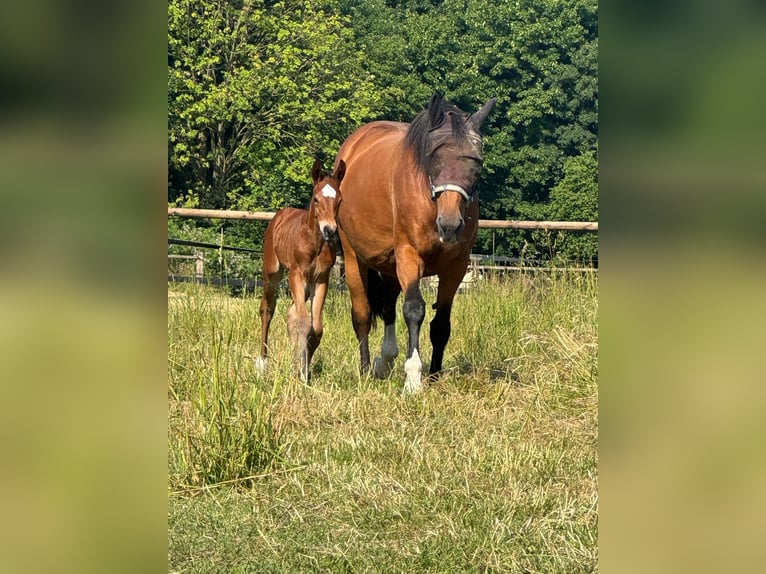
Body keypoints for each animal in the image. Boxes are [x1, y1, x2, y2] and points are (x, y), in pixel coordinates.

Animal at [256, 158, 345, 382]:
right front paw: (302, 373)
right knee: (267, 309)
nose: (329, 230)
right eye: (316, 199)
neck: (314, 243)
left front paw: (302, 370)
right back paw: (262, 363)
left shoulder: (320, 279)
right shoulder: (296, 275)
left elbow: (316, 328)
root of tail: (281, 214)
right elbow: (304, 322)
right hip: (272, 273)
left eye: (339, 200)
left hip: (305, 286)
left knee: (291, 313)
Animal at [333, 93, 495, 393]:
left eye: (476, 162)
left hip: (389, 263)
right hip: (353, 258)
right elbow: (414, 310)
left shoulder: (456, 267)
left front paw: (434, 374)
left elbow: (441, 322)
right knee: (362, 313)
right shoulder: (409, 256)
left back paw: (385, 360)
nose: (450, 225)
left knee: (387, 306)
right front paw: (413, 378)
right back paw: (365, 369)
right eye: (434, 157)